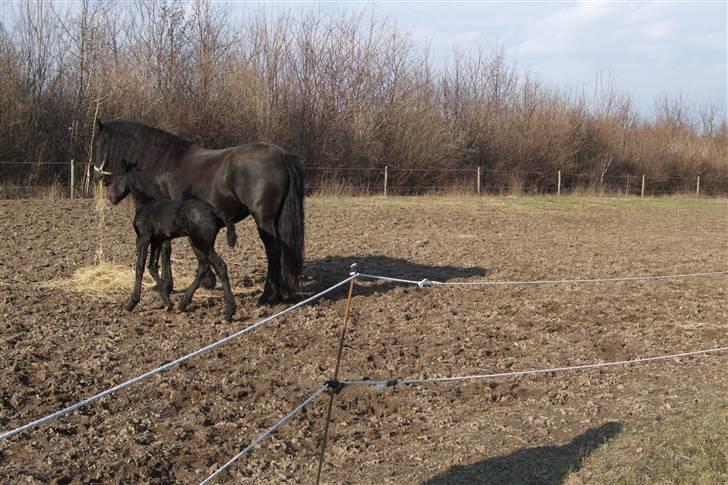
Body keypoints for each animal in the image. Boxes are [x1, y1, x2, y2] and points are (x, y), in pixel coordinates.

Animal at [94, 119, 304, 304]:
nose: (98, 177)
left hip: (263, 220)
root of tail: (282, 156)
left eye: (99, 144)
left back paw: (267, 295)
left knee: (273, 251)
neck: (163, 164)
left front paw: (170, 285)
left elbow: (166, 249)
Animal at [109, 159, 239, 322]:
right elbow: (152, 266)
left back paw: (229, 312)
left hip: (202, 243)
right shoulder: (157, 240)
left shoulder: (143, 238)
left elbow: (140, 266)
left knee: (220, 265)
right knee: (203, 266)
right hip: (197, 243)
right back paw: (183, 304)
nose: (111, 198)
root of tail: (213, 210)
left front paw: (132, 303)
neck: (148, 203)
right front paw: (167, 303)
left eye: (119, 177)